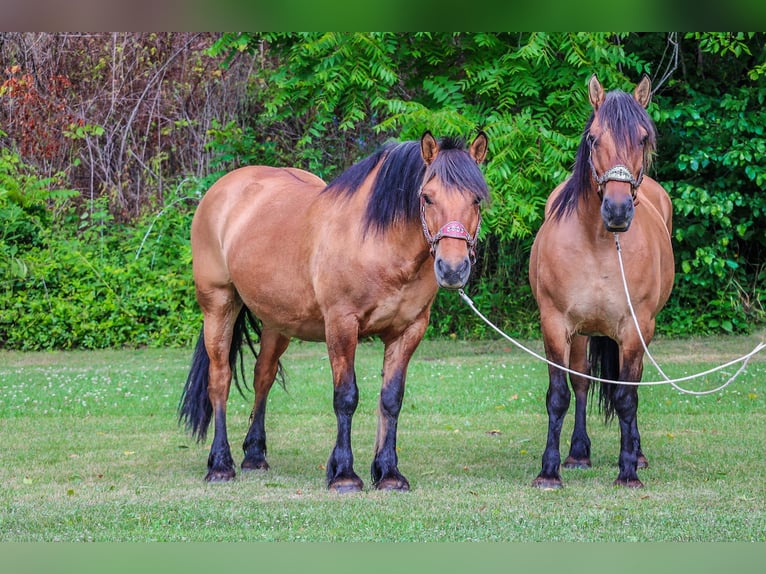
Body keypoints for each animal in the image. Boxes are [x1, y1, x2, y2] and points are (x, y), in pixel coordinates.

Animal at [179, 132, 488, 496]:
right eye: (427, 197)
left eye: (477, 199)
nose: (453, 269)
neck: (378, 242)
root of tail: (221, 190)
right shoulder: (341, 325)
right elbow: (346, 397)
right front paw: (344, 474)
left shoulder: (408, 330)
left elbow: (391, 399)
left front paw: (389, 473)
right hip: (218, 306)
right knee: (220, 380)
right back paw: (220, 464)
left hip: (277, 323)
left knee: (263, 376)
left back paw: (254, 455)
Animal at [532, 75, 676, 490]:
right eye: (594, 138)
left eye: (642, 139)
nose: (617, 210)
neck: (597, 243)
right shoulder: (555, 325)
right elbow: (559, 395)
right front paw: (549, 471)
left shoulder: (635, 329)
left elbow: (627, 398)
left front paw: (628, 470)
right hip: (581, 333)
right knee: (581, 383)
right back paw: (578, 453)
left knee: (633, 386)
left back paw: (637, 454)